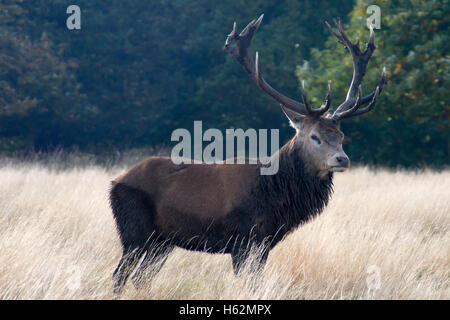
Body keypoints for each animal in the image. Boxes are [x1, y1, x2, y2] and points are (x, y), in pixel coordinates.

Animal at [110, 15, 386, 296]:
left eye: (341, 135)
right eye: (314, 136)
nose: (342, 159)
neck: (272, 195)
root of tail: (116, 182)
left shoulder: (263, 243)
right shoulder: (241, 238)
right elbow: (248, 282)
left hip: (163, 240)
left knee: (142, 276)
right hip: (134, 230)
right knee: (120, 273)